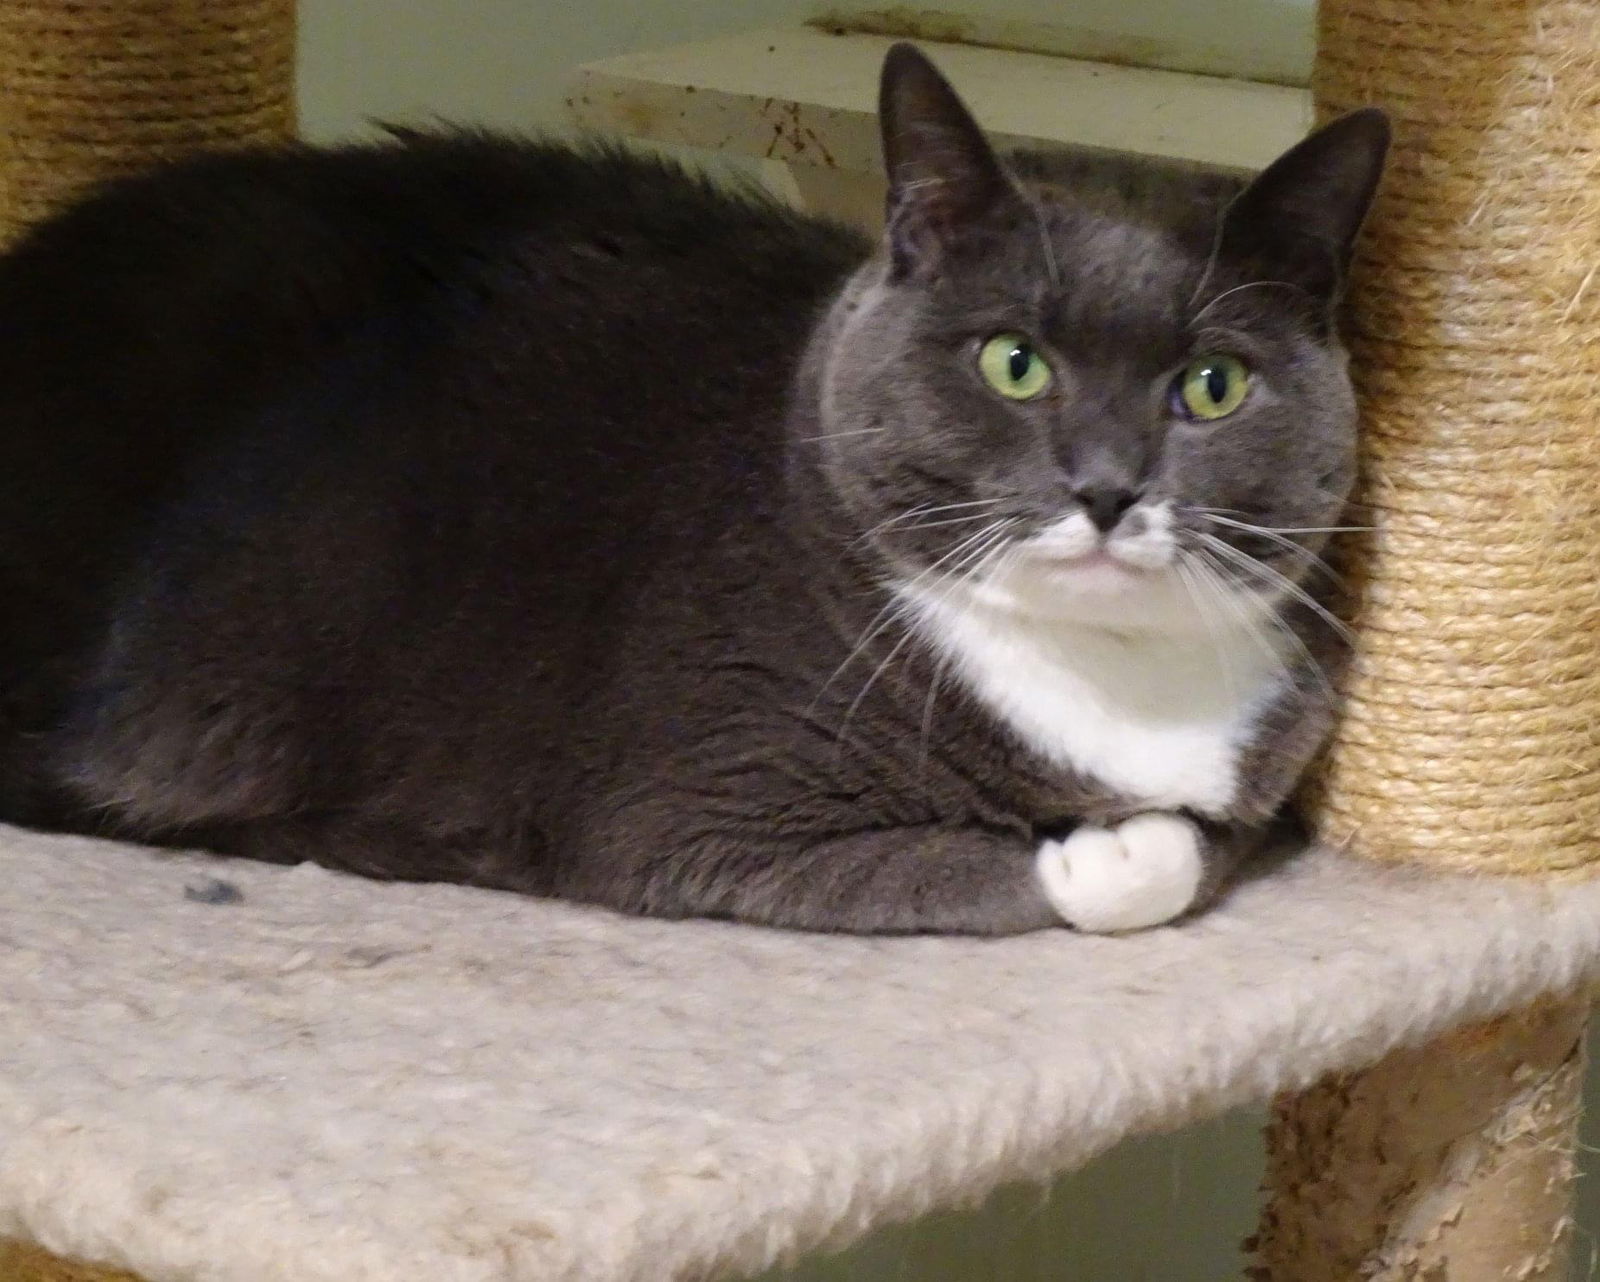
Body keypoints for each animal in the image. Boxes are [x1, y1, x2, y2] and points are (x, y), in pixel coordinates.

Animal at [0, 45, 1382, 934]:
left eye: (1210, 386)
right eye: (1013, 363)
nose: (1105, 488)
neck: (1107, 688)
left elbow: (1208, 843)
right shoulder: (705, 803)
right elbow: (1060, 878)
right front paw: (1108, 849)